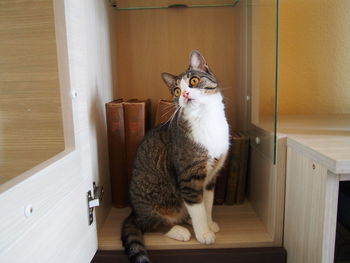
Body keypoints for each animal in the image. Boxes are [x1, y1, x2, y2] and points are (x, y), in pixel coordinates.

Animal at [120, 51, 230, 263]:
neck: (206, 119)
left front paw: (210, 223)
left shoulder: (211, 177)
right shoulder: (189, 177)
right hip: (153, 201)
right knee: (150, 223)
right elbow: (197, 208)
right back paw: (179, 230)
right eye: (177, 91)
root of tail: (134, 212)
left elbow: (207, 203)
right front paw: (203, 233)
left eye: (194, 80)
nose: (185, 95)